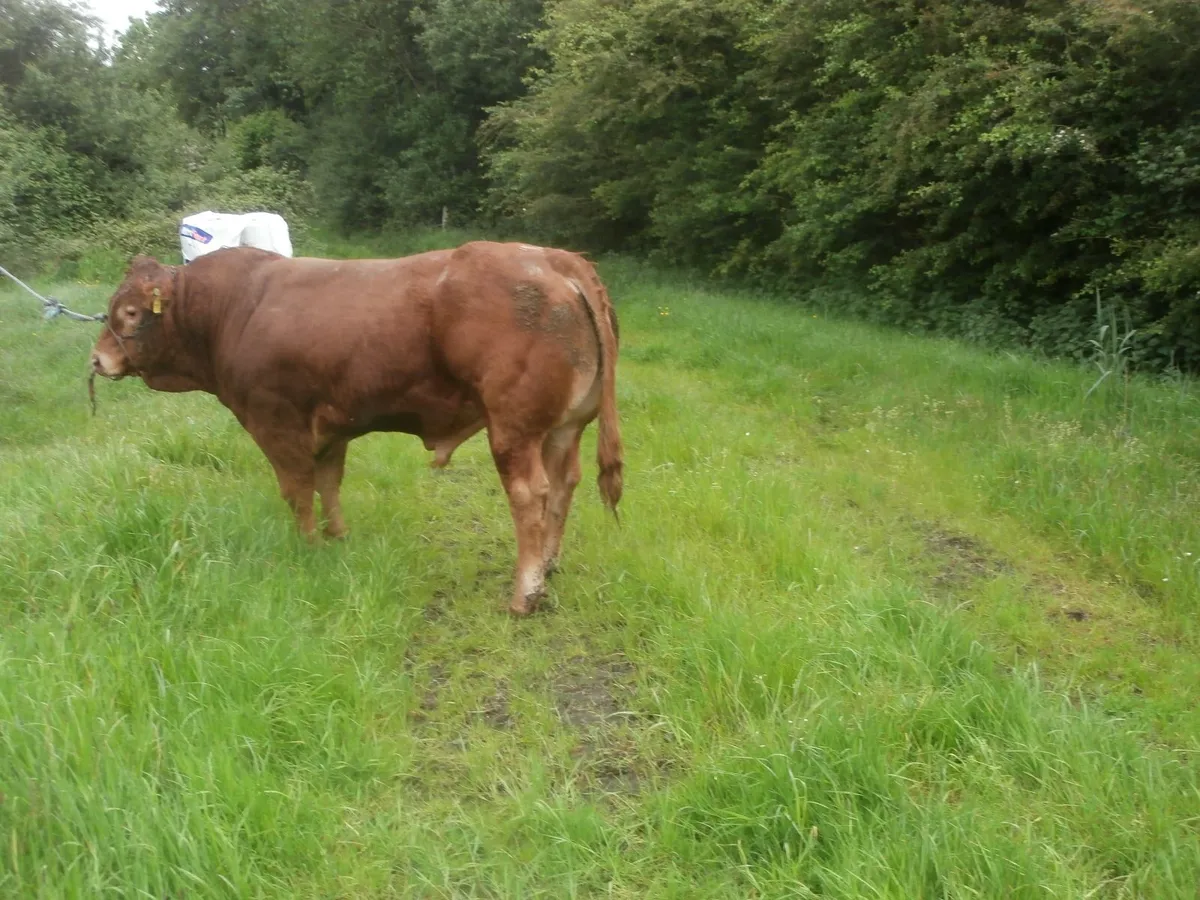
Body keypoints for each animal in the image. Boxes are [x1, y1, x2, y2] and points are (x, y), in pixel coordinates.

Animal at [90, 241, 624, 615]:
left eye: (130, 313)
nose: (97, 358)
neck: (231, 310)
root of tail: (553, 258)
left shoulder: (275, 421)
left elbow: (297, 488)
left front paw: (307, 546)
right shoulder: (330, 426)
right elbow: (329, 481)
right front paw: (338, 537)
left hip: (513, 428)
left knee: (530, 494)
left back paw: (525, 594)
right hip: (563, 427)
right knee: (563, 484)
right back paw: (549, 565)